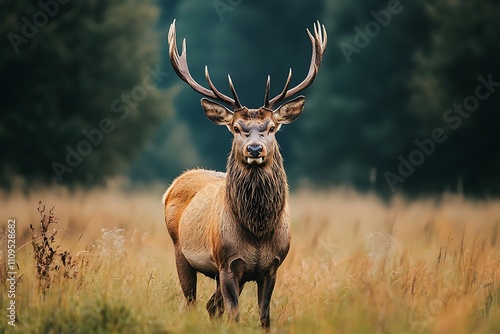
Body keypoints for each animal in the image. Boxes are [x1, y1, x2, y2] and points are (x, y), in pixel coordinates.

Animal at [164, 19, 326, 328]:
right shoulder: (227, 263)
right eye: (237, 128)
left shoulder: (272, 266)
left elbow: (264, 317)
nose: (254, 148)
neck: (257, 231)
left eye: (272, 127)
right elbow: (234, 315)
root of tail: (176, 182)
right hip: (180, 252)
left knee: (209, 306)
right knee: (190, 303)